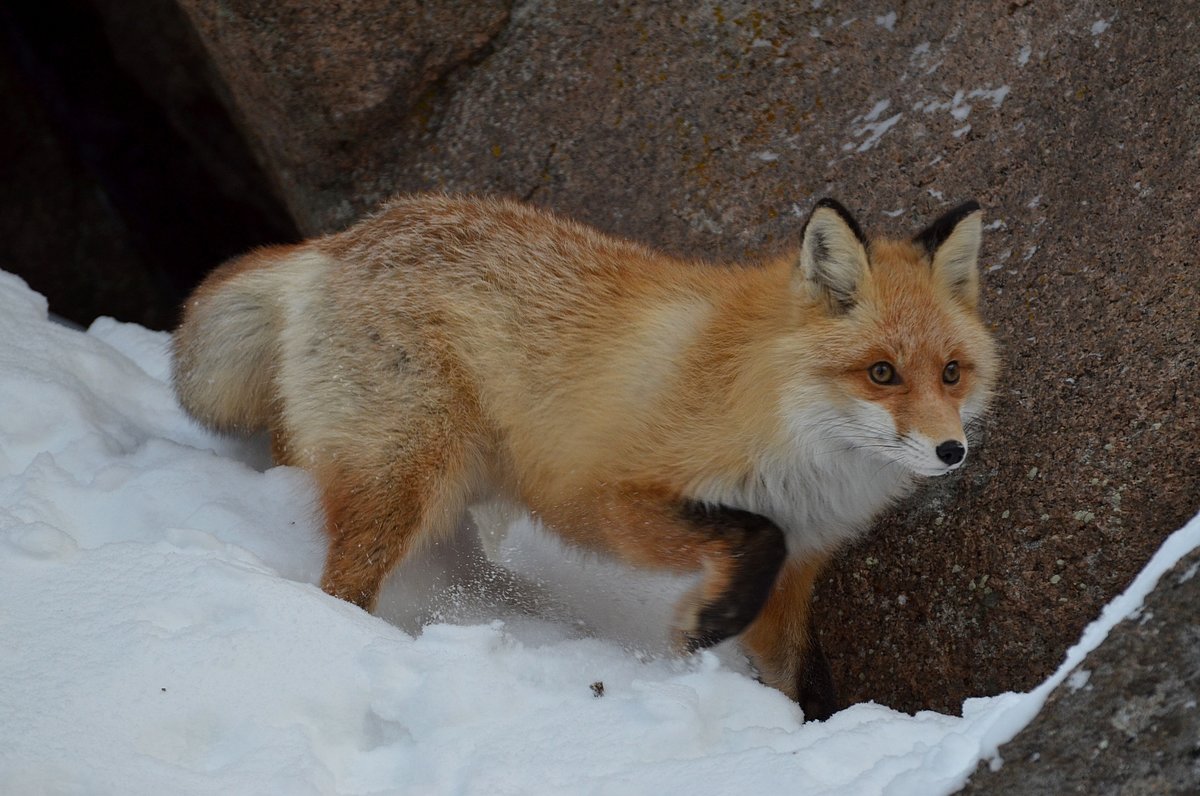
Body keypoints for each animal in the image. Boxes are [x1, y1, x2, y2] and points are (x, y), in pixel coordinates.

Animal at [174, 194, 998, 720]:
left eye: (952, 372)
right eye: (882, 373)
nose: (951, 451)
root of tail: (336, 242)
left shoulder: (796, 569)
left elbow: (798, 677)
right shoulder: (609, 499)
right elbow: (750, 536)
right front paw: (700, 628)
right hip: (407, 476)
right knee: (341, 583)